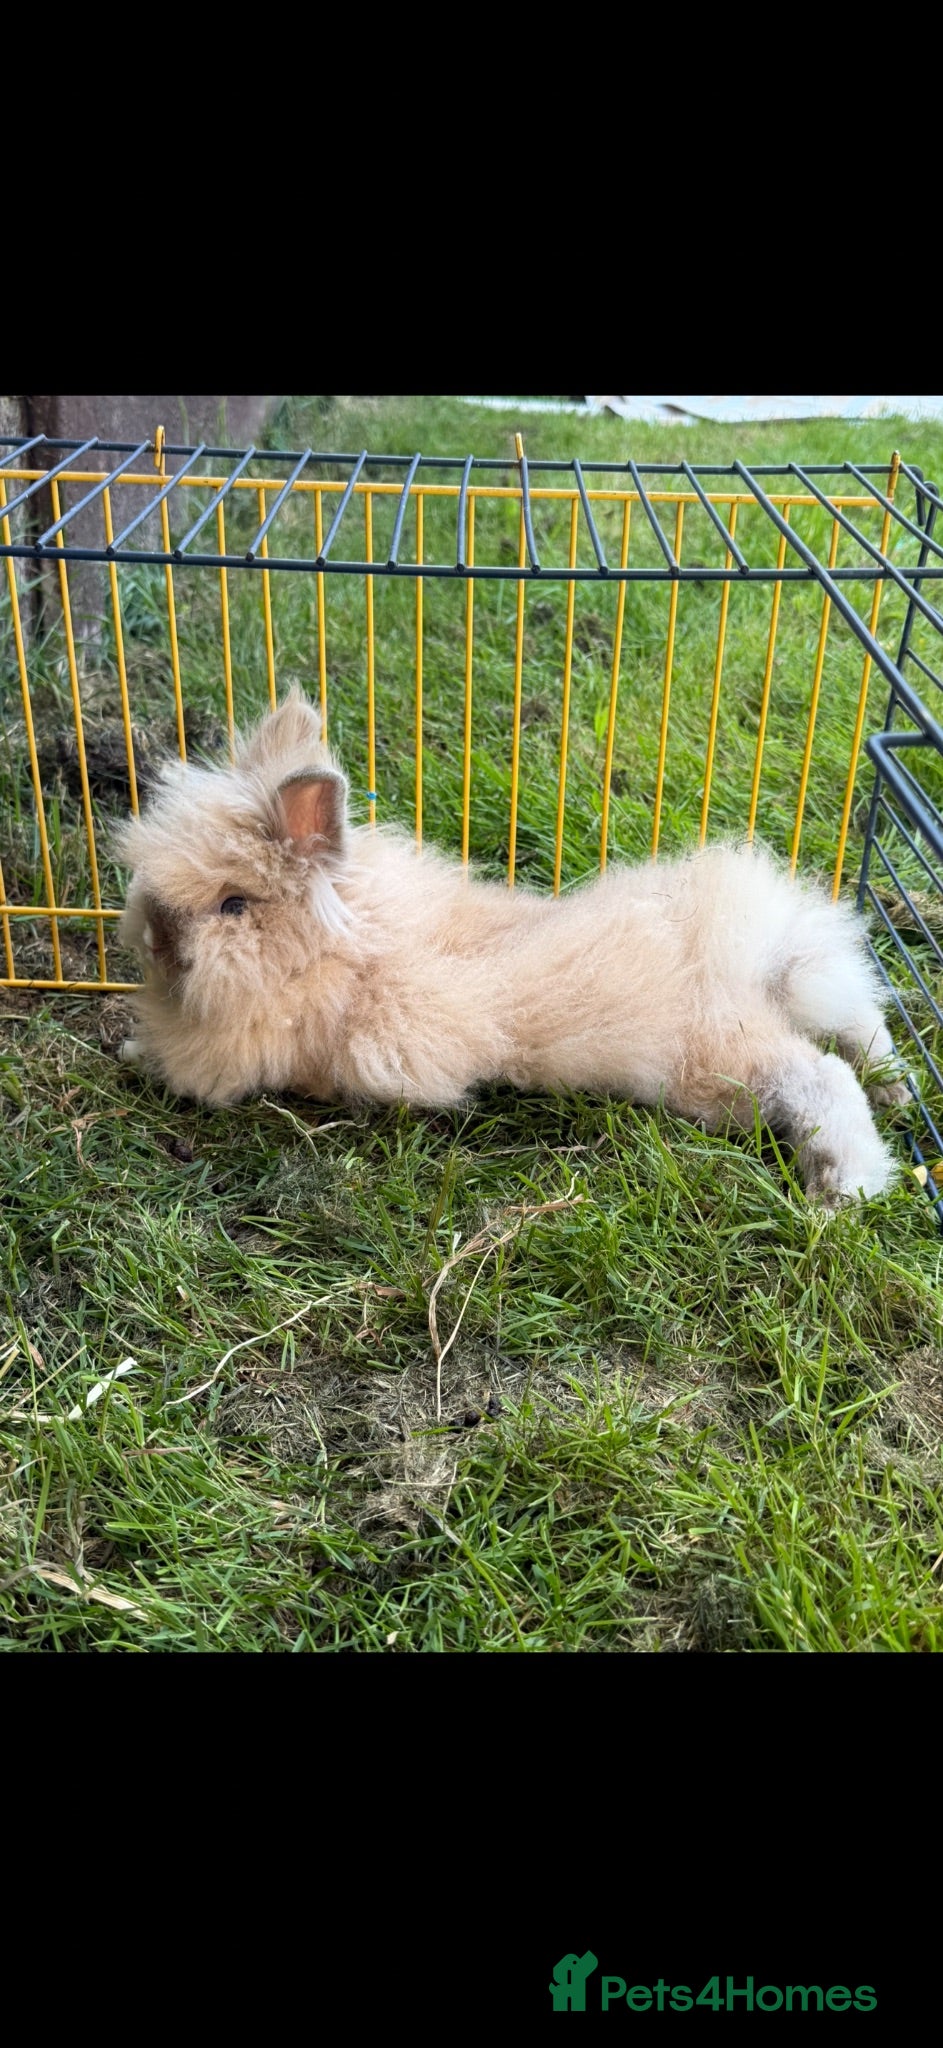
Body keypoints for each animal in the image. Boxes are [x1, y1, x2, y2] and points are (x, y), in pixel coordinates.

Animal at [115, 689, 908, 1206]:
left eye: (233, 905)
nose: (153, 936)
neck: (341, 944)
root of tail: (758, 947)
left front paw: (132, 1055)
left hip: (720, 1059)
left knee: (822, 1076)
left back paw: (843, 1189)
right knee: (861, 1029)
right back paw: (898, 1090)